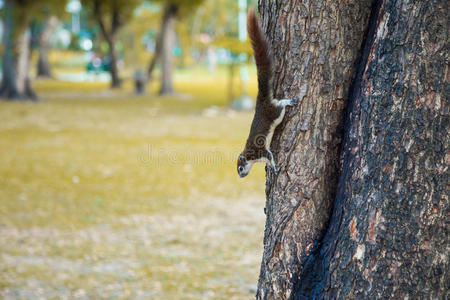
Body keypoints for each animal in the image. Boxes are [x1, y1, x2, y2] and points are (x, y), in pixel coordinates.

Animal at [236, 7, 296, 178]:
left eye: (240, 168)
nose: (240, 176)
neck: (250, 156)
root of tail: (261, 102)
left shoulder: (260, 151)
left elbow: (269, 157)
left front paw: (274, 168)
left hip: (274, 112)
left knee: (280, 105)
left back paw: (289, 101)